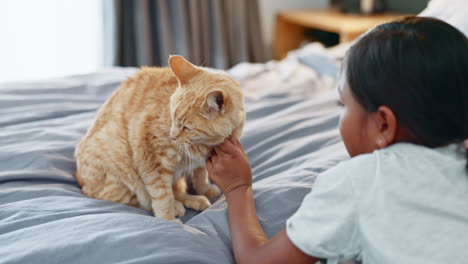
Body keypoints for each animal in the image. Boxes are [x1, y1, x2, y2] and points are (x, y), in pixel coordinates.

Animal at [74, 55, 245, 221]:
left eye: (186, 128)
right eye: (172, 115)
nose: (172, 136)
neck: (204, 145)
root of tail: (79, 180)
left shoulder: (200, 161)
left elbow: (200, 174)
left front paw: (205, 189)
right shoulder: (152, 161)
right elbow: (162, 196)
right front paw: (169, 219)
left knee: (176, 191)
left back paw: (195, 200)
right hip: (121, 176)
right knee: (142, 201)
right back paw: (178, 207)